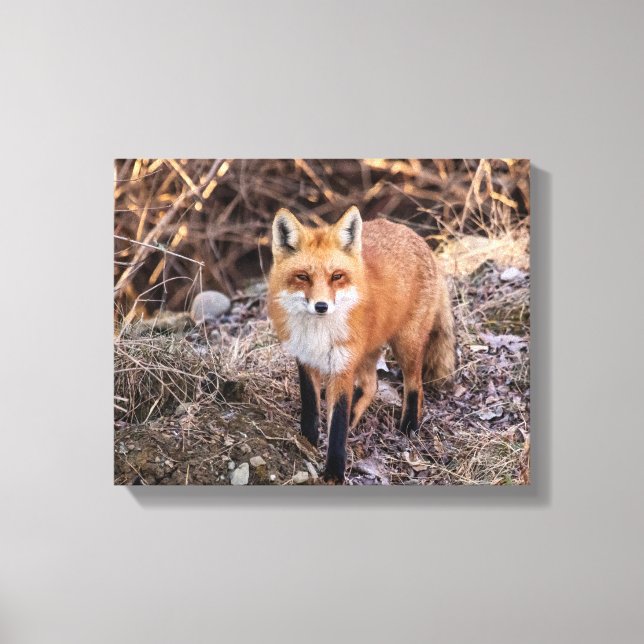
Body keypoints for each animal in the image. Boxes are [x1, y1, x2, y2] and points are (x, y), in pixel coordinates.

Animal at [267, 206, 456, 483]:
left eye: (337, 276)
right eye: (302, 276)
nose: (321, 306)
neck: (318, 334)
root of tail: (416, 237)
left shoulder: (342, 366)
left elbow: (337, 424)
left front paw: (334, 473)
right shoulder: (305, 358)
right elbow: (311, 406)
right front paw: (308, 440)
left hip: (405, 344)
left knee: (415, 385)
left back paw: (409, 426)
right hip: (367, 350)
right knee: (371, 385)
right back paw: (356, 416)